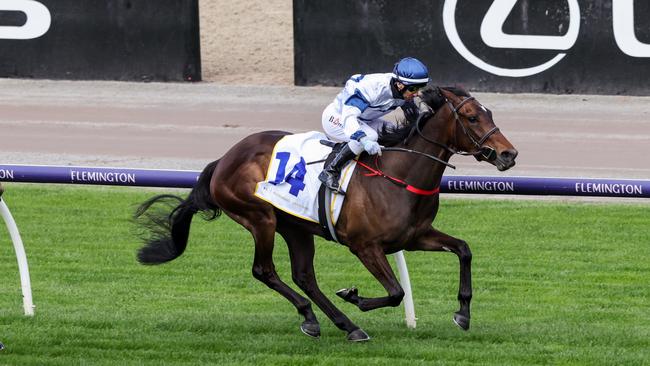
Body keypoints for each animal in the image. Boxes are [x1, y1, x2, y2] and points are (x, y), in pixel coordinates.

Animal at [135, 86, 516, 344]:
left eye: (491, 114)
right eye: (472, 117)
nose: (508, 154)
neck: (398, 175)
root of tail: (224, 159)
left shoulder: (415, 236)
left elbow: (464, 249)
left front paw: (462, 313)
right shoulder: (365, 246)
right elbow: (396, 292)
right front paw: (354, 296)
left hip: (296, 227)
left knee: (304, 276)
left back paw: (344, 325)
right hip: (260, 219)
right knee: (264, 270)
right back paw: (314, 318)